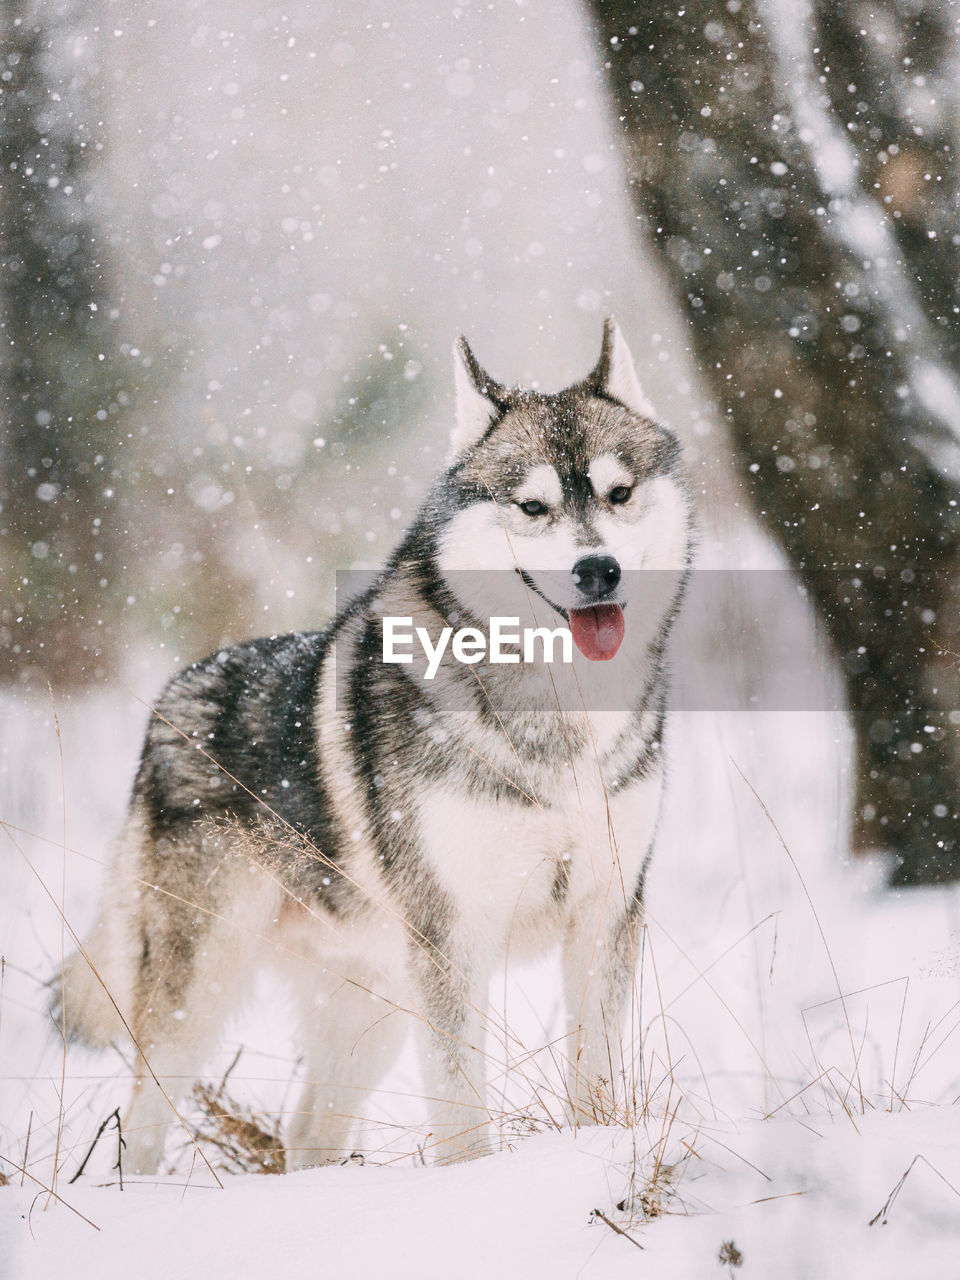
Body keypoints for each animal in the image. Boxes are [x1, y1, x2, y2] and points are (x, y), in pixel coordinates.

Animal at [58, 320, 691, 1172]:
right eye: (533, 506)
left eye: (619, 494)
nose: (599, 570)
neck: (557, 721)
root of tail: (170, 698)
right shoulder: (454, 940)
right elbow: (462, 1116)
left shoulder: (605, 918)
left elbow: (594, 1083)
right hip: (203, 996)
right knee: (142, 1125)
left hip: (374, 1008)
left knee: (308, 1131)